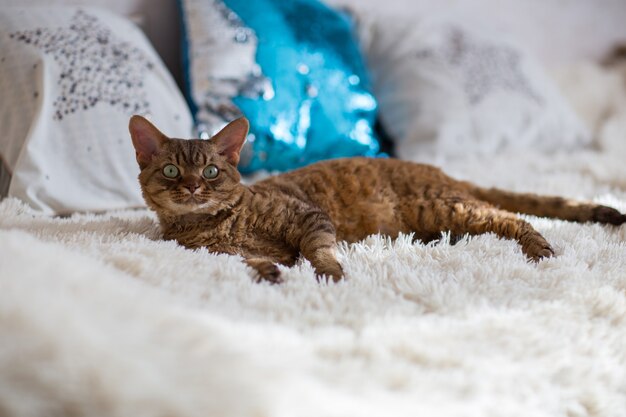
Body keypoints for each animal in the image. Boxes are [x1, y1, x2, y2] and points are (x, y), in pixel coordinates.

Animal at [128, 115, 624, 282]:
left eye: (211, 171)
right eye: (171, 170)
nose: (193, 186)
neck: (218, 224)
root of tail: (439, 170)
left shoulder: (309, 218)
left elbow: (318, 250)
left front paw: (328, 274)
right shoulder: (209, 252)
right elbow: (244, 259)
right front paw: (266, 270)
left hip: (444, 205)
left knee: (512, 217)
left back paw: (539, 249)